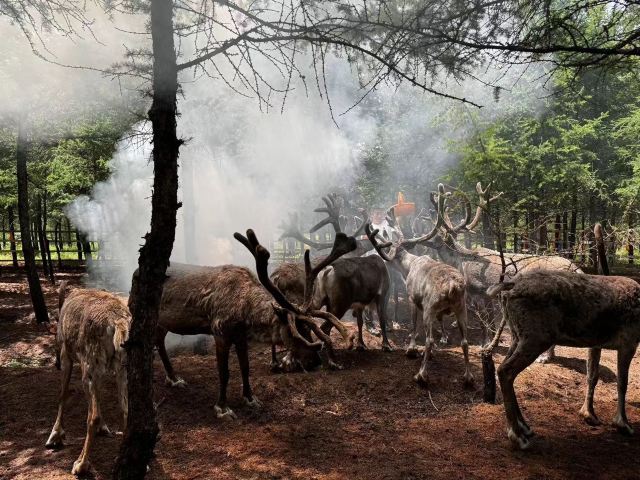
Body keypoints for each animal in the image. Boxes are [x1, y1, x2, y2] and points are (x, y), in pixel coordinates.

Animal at [45, 282, 130, 476]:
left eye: (54, 338)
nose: (56, 363)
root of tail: (118, 322)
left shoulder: (67, 355)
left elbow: (62, 394)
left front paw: (55, 435)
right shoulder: (102, 371)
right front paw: (104, 428)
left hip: (89, 362)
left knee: (93, 416)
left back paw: (81, 464)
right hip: (122, 367)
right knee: (126, 409)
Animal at [151, 231, 357, 420]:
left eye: (310, 329)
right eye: (296, 331)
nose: (316, 362)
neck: (245, 312)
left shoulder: (240, 335)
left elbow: (245, 367)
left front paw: (250, 398)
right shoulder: (220, 332)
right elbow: (224, 372)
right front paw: (222, 407)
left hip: (162, 322)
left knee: (159, 341)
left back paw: (174, 378)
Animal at [364, 187, 474, 387]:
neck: (409, 266)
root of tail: (453, 287)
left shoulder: (413, 299)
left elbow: (414, 327)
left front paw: (412, 349)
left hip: (431, 307)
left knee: (430, 339)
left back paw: (421, 374)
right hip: (461, 308)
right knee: (464, 341)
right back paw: (468, 376)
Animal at [487, 269, 640, 450]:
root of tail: (509, 287)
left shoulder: (596, 343)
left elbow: (592, 377)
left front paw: (588, 414)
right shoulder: (629, 341)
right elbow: (622, 384)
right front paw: (623, 424)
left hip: (516, 336)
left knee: (503, 368)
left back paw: (524, 427)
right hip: (536, 338)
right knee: (505, 371)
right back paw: (517, 435)